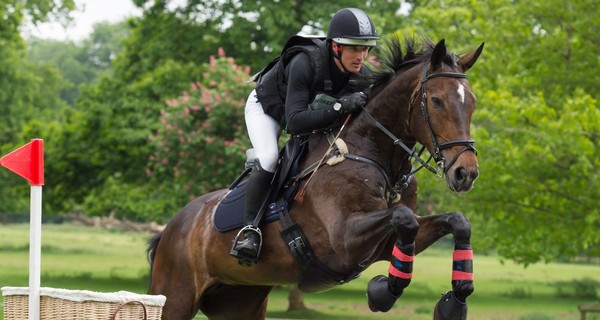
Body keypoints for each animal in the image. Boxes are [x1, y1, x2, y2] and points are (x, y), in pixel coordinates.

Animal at [148, 35, 486, 320]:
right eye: (437, 101)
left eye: (471, 102)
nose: (465, 173)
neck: (374, 154)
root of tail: (170, 228)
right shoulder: (346, 240)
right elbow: (403, 217)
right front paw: (383, 292)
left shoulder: (384, 244)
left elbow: (456, 221)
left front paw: (456, 301)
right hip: (175, 297)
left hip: (240, 301)